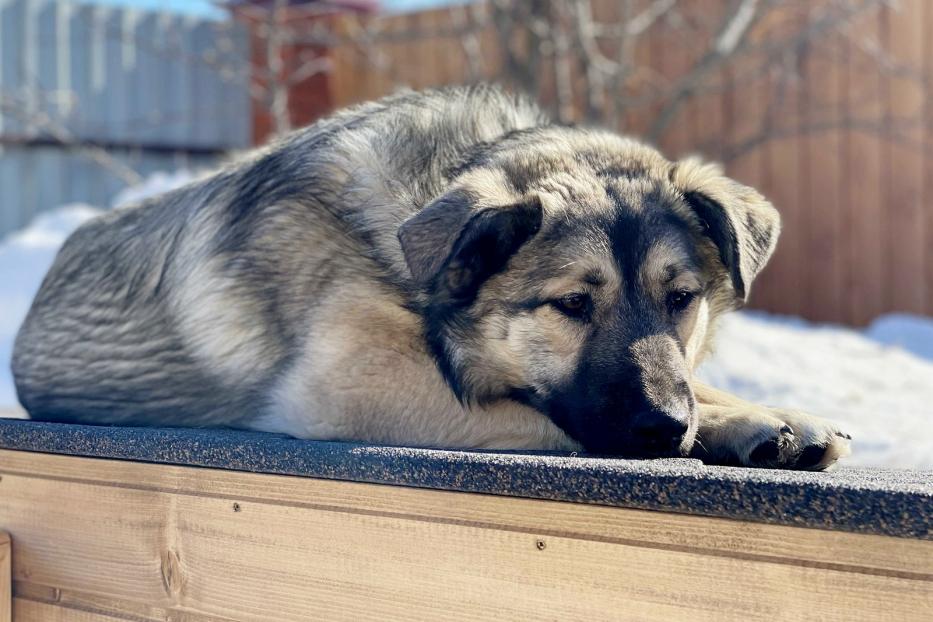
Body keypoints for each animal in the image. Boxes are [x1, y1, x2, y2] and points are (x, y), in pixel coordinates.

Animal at [9, 85, 852, 470]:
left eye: (680, 300)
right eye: (572, 304)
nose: (662, 426)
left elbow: (697, 384)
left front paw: (762, 416)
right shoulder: (359, 388)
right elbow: (541, 412)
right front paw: (722, 430)